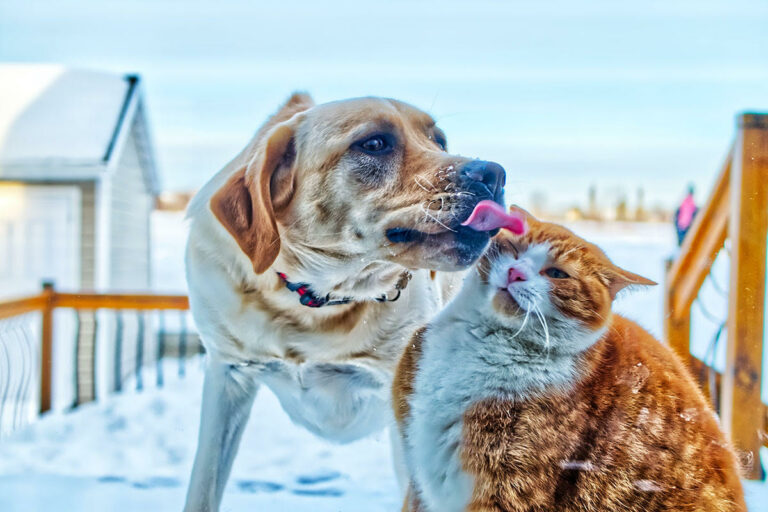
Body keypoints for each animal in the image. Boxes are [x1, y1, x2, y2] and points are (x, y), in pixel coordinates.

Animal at [180, 94, 504, 510]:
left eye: (440, 140)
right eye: (374, 143)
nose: (495, 174)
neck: (318, 301)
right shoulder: (227, 374)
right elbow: (203, 486)